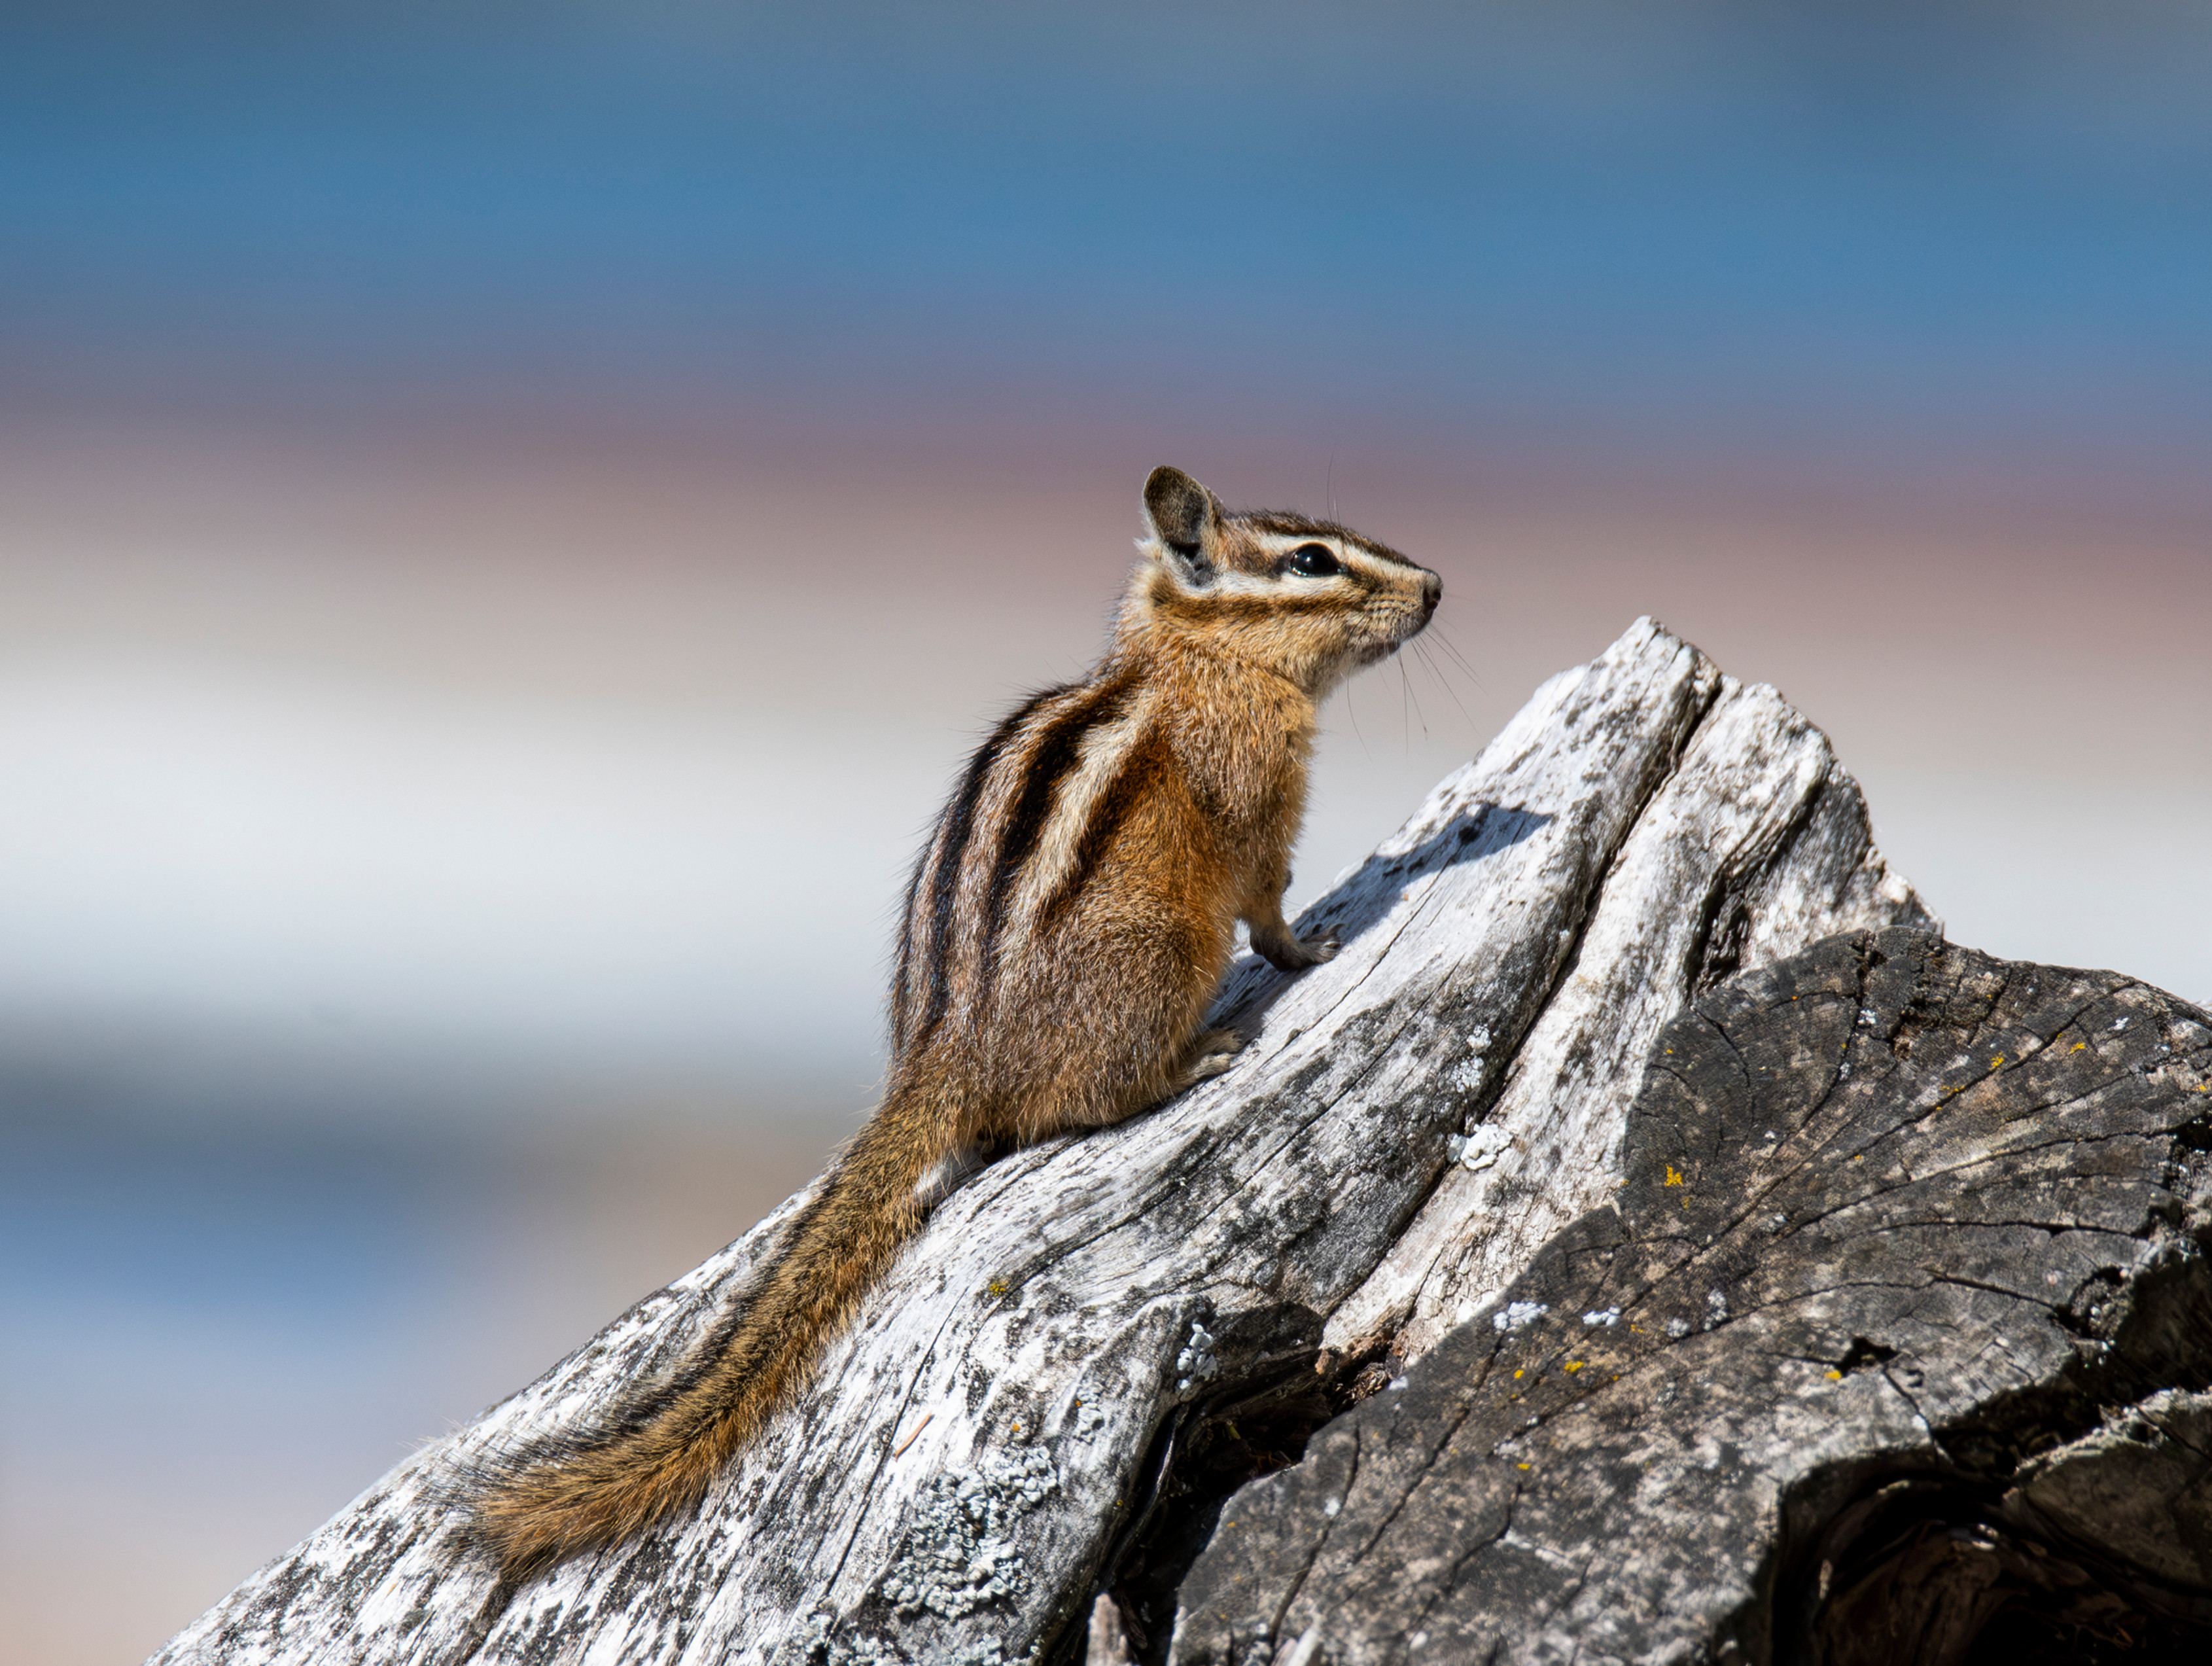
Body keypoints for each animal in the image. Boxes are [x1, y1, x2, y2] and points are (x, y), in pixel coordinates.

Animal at [465, 465, 1441, 1583]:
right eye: (1311, 561)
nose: (1436, 589)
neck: (1195, 658)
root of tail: (944, 1058)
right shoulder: (1257, 794)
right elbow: (1267, 897)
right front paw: (1310, 947)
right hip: (1163, 954)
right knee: (1079, 1101)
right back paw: (1194, 1060)